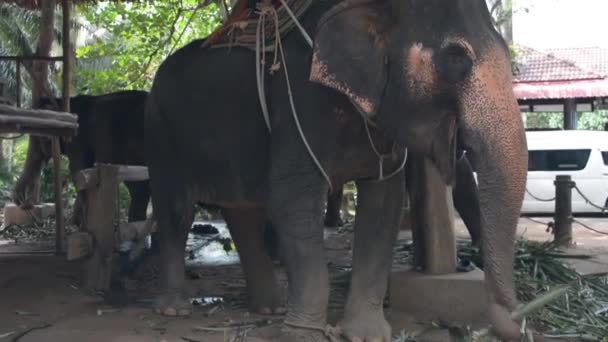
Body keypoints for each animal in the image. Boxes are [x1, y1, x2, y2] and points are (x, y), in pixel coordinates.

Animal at [144, 0, 528, 340]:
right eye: (456, 58)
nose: (509, 326)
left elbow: (383, 204)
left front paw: (365, 335)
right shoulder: (299, 101)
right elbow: (292, 199)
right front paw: (303, 336)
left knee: (242, 213)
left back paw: (269, 308)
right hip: (161, 133)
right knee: (177, 210)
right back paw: (175, 309)